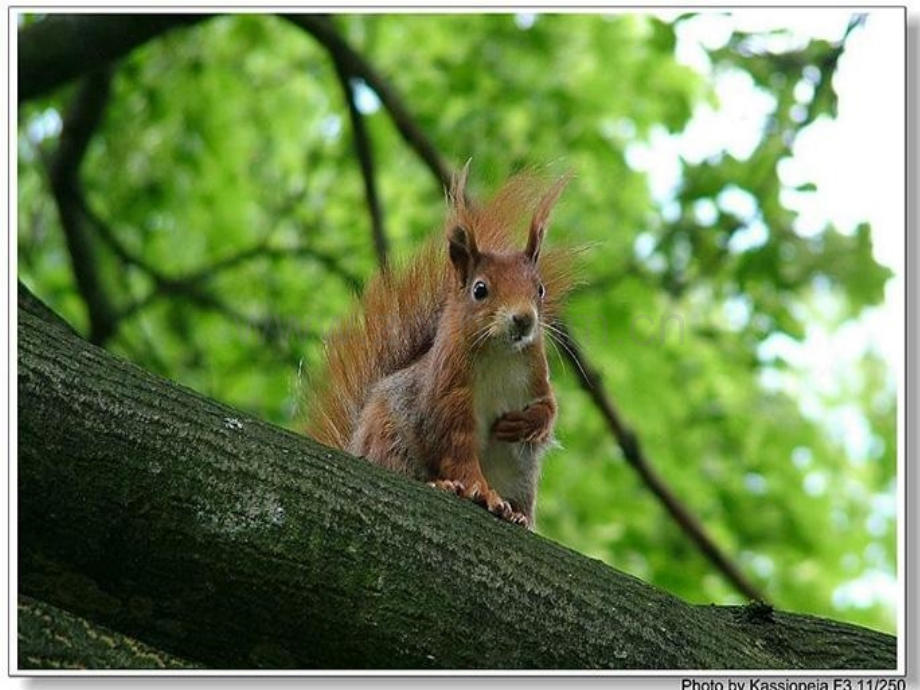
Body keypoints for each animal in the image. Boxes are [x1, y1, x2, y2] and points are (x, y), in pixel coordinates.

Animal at [304, 165, 576, 528]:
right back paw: (443, 485)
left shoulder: (536, 377)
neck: (500, 354)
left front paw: (526, 423)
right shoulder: (448, 396)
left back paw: (520, 516)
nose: (524, 319)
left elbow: (549, 409)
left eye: (540, 289)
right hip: (390, 438)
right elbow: (456, 450)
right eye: (480, 290)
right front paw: (481, 492)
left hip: (521, 475)